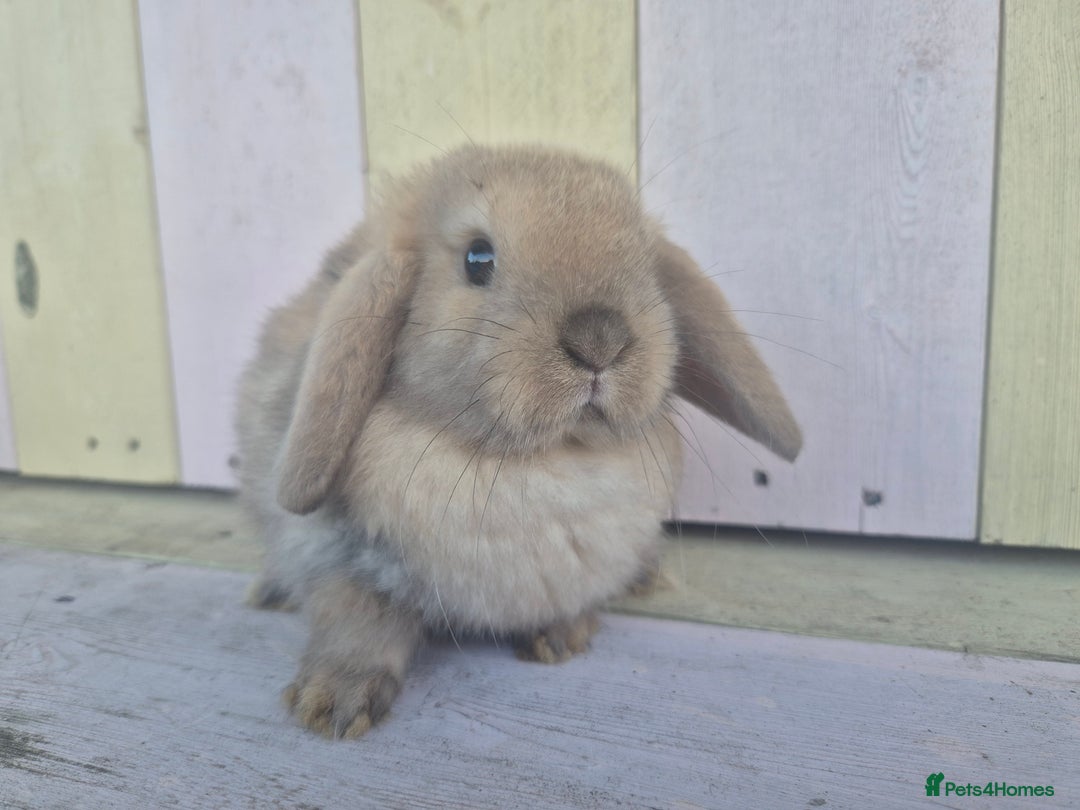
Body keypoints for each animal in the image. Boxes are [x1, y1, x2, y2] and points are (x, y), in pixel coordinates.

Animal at [235, 144, 802, 739]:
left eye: (646, 261)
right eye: (477, 258)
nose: (600, 339)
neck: (539, 463)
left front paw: (562, 638)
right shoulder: (339, 558)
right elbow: (356, 619)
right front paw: (334, 705)